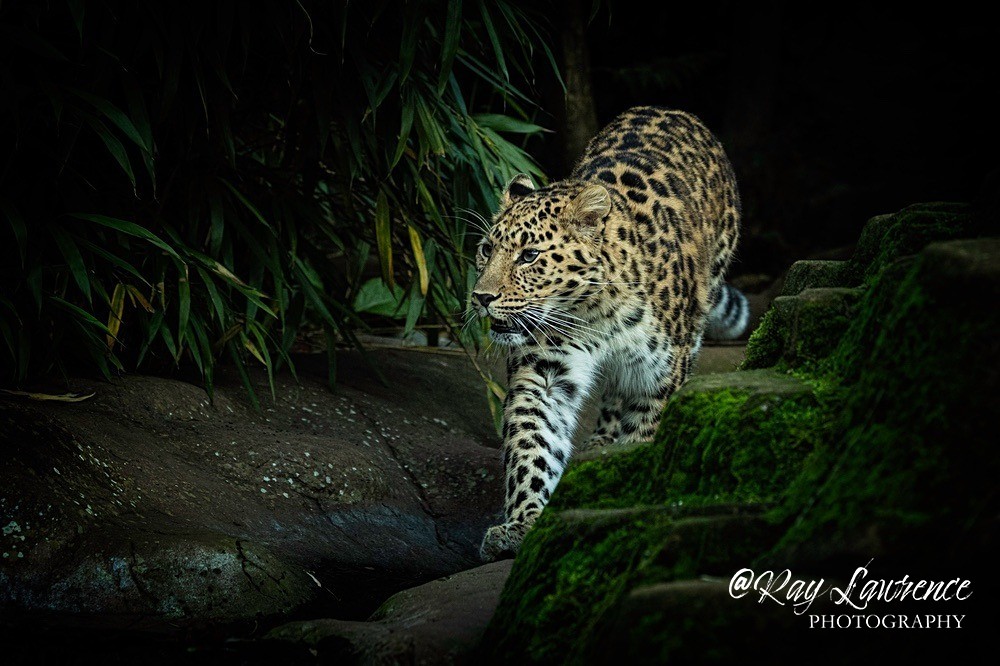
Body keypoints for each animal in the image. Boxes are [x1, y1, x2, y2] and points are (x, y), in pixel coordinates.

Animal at [472, 106, 748, 561]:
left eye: (530, 256)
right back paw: (601, 441)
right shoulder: (544, 371)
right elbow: (533, 445)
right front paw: (521, 524)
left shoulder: (659, 375)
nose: (481, 297)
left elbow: (646, 431)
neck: (594, 312)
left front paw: (630, 484)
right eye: (485, 250)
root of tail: (672, 109)